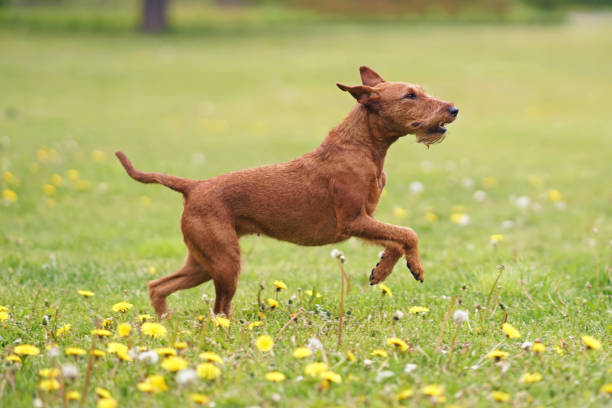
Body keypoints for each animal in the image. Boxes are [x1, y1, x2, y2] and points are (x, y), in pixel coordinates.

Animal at [117, 65, 456, 318]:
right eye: (410, 95)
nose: (454, 109)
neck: (360, 146)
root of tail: (194, 186)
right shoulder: (352, 220)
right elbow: (409, 233)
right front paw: (416, 267)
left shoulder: (363, 221)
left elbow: (396, 240)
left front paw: (382, 270)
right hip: (225, 263)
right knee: (219, 309)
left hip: (203, 262)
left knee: (158, 286)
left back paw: (163, 320)